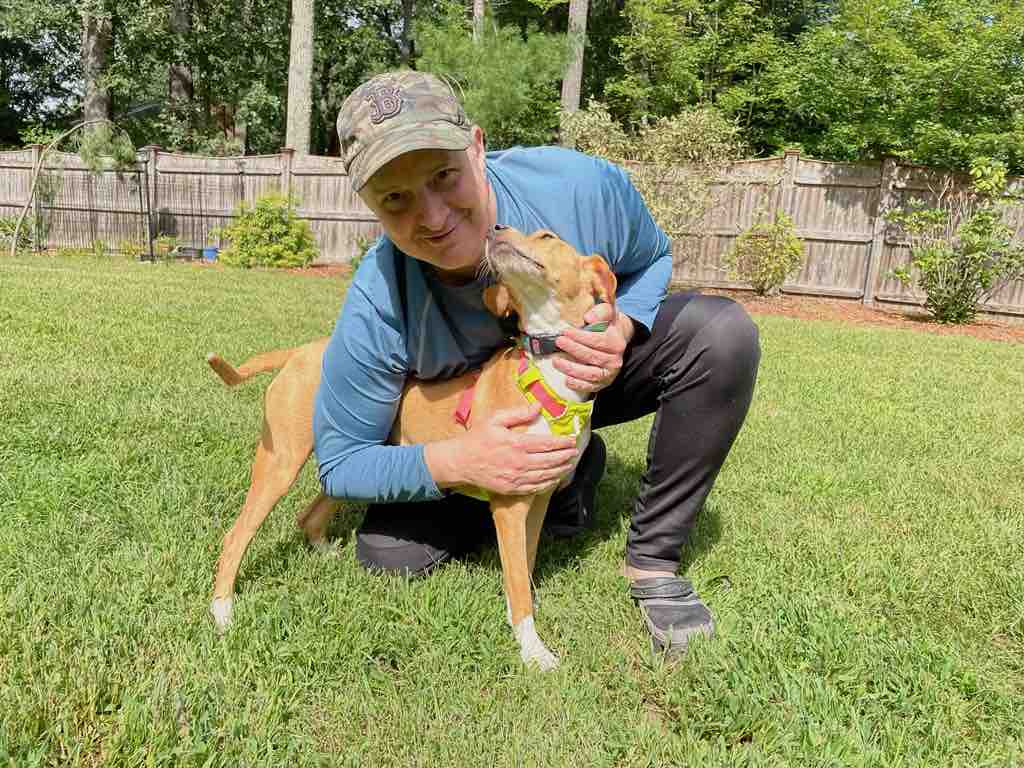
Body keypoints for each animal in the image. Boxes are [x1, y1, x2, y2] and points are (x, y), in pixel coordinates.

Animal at [207, 227, 614, 667]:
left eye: (547, 236)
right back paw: (222, 612)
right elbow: (519, 585)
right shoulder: (510, 504)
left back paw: (324, 552)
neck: (547, 371)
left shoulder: (537, 500)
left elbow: (525, 565)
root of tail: (301, 351)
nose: (496, 230)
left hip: (349, 460)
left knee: (310, 512)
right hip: (281, 463)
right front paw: (534, 652)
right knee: (235, 537)